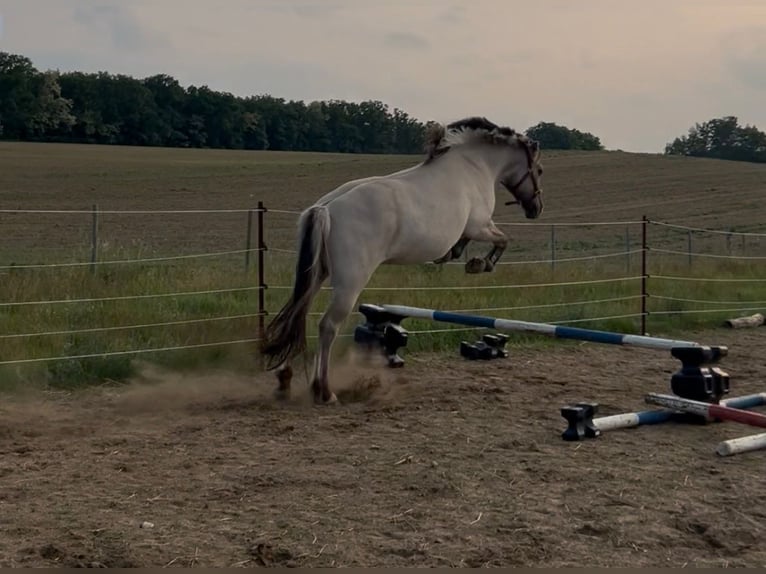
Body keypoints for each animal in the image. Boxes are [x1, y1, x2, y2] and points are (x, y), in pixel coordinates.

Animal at [260, 116, 545, 404]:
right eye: (540, 170)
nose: (536, 209)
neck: (473, 165)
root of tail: (325, 208)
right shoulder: (480, 226)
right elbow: (502, 239)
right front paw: (479, 264)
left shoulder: (470, 230)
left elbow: (463, 247)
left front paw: (460, 258)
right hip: (349, 283)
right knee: (327, 326)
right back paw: (324, 391)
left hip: (317, 273)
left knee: (298, 312)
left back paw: (285, 381)